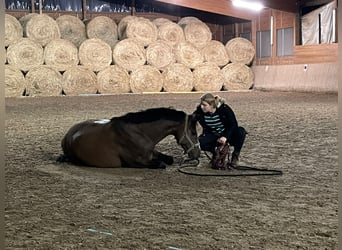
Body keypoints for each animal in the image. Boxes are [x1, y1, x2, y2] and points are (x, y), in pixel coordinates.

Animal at [57, 107, 200, 168]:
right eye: (193, 132)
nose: (197, 154)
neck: (139, 132)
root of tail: (68, 135)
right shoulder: (136, 162)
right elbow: (161, 164)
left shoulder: (152, 152)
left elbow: (169, 159)